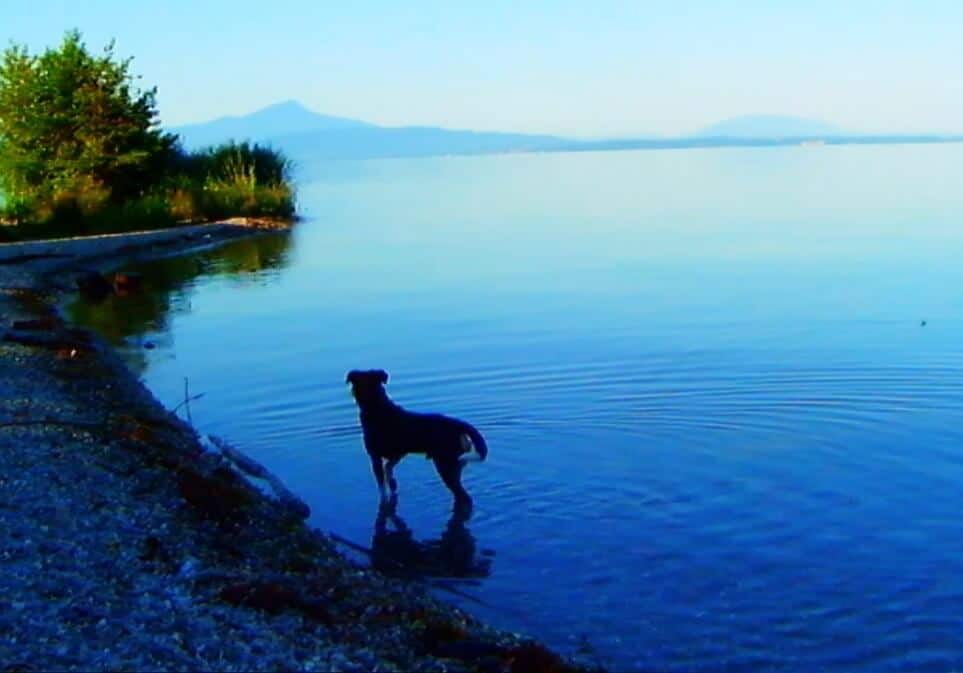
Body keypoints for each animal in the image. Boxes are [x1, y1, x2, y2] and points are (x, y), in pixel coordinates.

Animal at [346, 368, 490, 510]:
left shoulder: (375, 457)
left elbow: (382, 487)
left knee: (463, 496)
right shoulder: (399, 453)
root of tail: (459, 424)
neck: (377, 405)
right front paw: (393, 483)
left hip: (446, 466)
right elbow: (388, 468)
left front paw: (385, 500)